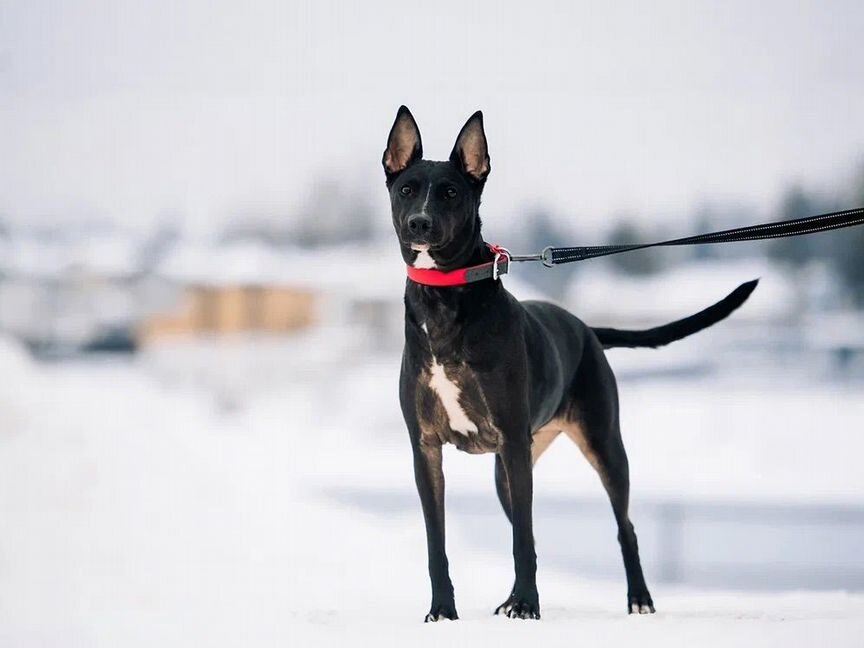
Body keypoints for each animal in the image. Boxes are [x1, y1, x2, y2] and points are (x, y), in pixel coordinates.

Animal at [384, 107, 756, 624]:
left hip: (600, 445)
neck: (445, 298)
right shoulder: (426, 449)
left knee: (622, 528)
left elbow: (522, 541)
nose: (419, 223)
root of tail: (586, 328)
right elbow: (437, 542)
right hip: (509, 468)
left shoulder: (512, 441)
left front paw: (526, 605)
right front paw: (443, 610)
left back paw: (638, 599)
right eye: (407, 189)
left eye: (452, 192)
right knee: (530, 529)